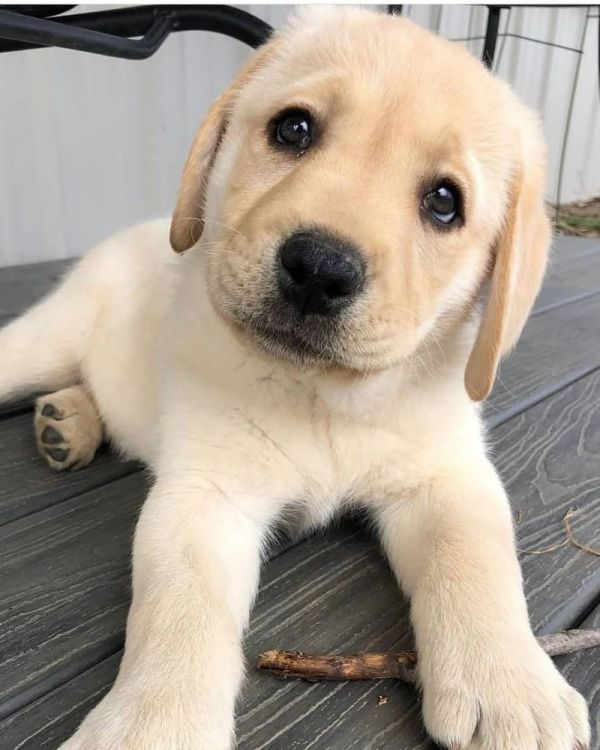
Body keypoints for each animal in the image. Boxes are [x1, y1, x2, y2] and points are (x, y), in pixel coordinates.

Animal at [0, 7, 592, 750]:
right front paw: (154, 723)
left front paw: (512, 685)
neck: (323, 396)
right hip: (48, 337)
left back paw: (67, 424)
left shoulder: (448, 473)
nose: (319, 269)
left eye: (444, 202)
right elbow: (178, 606)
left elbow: (479, 559)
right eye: (294, 129)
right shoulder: (207, 493)